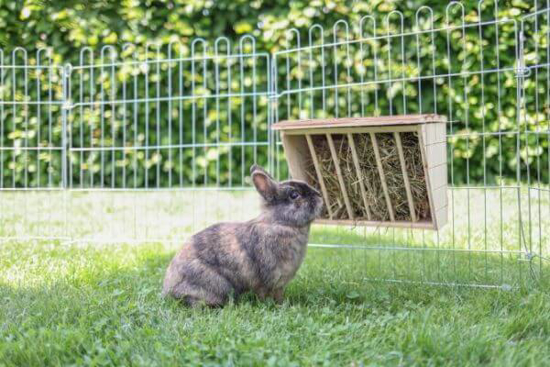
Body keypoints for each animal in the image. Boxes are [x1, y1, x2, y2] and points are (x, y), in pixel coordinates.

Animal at [162, 165, 324, 308]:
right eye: (294, 195)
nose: (319, 196)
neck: (281, 223)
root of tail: (169, 291)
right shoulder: (269, 280)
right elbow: (267, 294)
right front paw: (279, 306)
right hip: (216, 285)